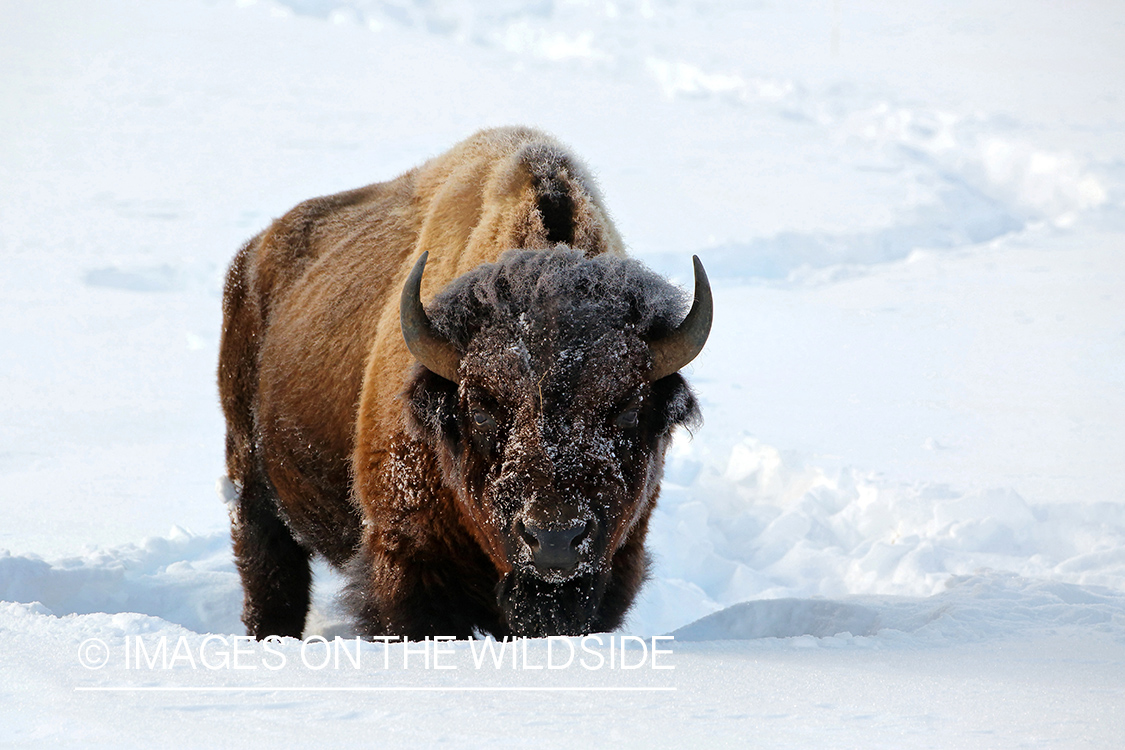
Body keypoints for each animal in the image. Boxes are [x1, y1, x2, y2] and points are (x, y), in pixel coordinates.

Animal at [218, 127, 706, 638]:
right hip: (250, 483)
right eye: (482, 409)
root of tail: (253, 256)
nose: (555, 539)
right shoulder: (407, 565)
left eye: (629, 409)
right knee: (271, 575)